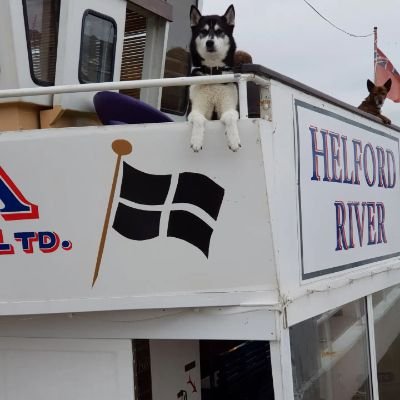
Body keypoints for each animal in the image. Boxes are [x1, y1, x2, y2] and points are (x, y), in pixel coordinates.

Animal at [188, 4, 241, 152]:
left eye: (219, 31)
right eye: (203, 31)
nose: (209, 42)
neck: (213, 74)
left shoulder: (230, 107)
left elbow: (230, 117)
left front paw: (234, 140)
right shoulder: (195, 109)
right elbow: (198, 119)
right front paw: (196, 140)